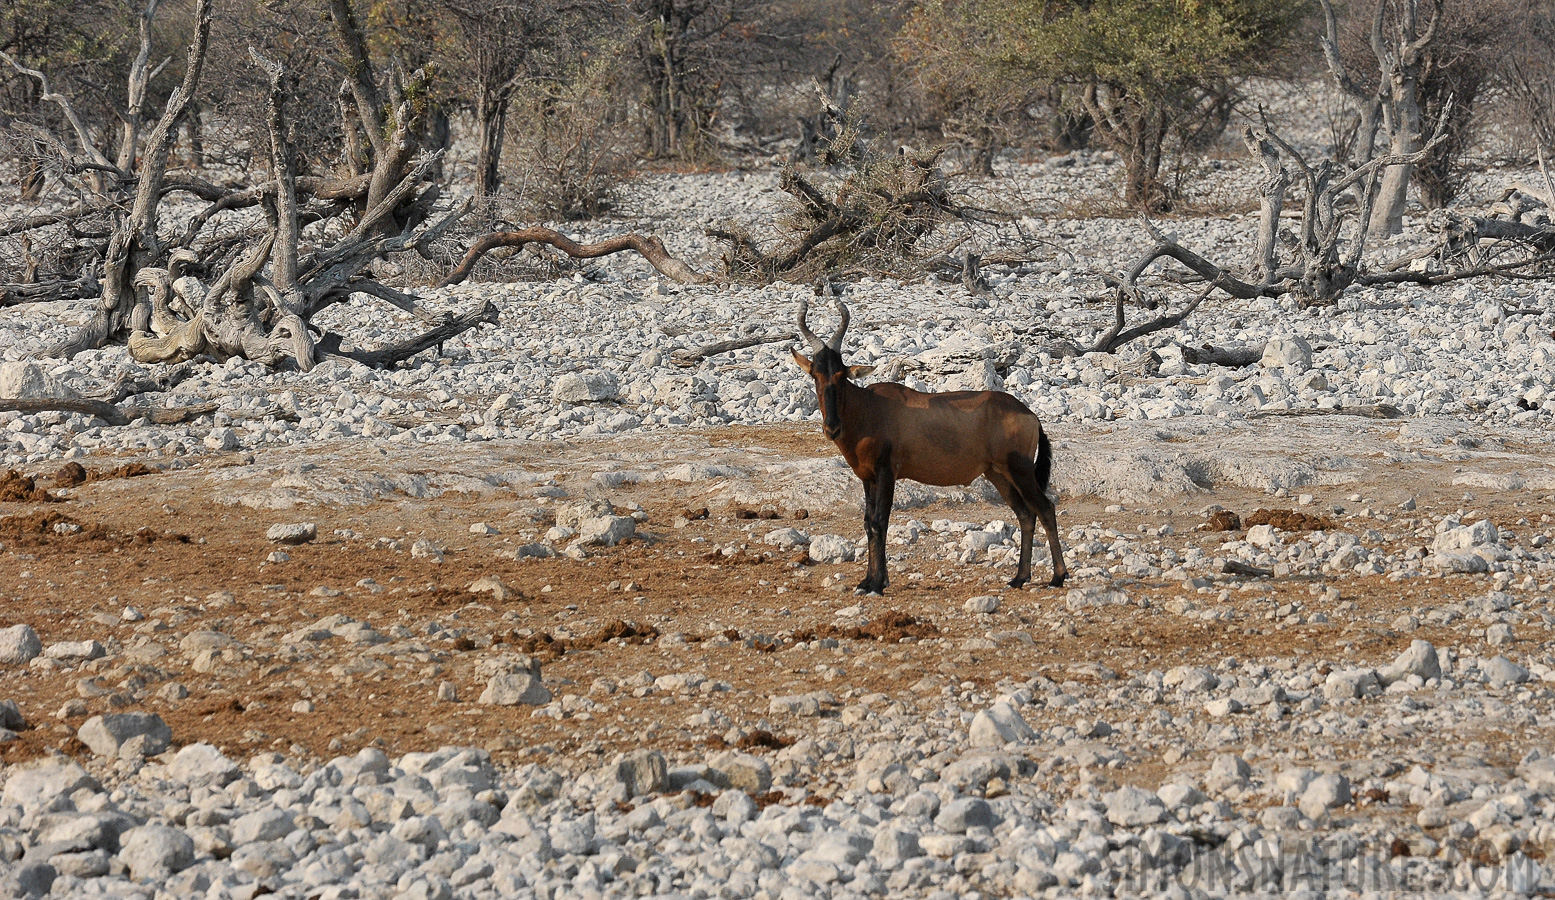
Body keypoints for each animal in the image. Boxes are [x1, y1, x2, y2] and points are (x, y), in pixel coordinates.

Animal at [796, 296, 1063, 600]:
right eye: (815, 374)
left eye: (841, 375)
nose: (832, 429)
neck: (870, 407)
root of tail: (1030, 415)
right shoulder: (867, 478)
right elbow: (868, 523)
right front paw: (868, 581)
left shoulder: (887, 473)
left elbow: (880, 521)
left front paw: (877, 584)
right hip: (998, 475)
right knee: (1026, 514)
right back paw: (1019, 578)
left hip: (1020, 470)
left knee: (1045, 509)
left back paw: (1057, 578)